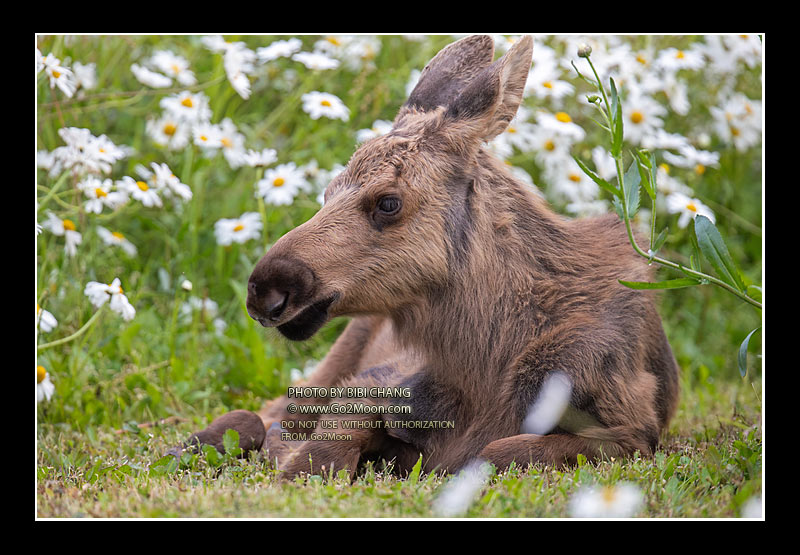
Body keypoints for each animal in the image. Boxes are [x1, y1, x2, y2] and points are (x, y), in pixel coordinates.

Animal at [177, 35, 681, 480]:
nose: (266, 289)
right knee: (259, 410)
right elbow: (317, 452)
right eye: (328, 191)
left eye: (388, 202)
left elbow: (496, 453)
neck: (485, 365)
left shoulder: (633, 433)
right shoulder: (377, 381)